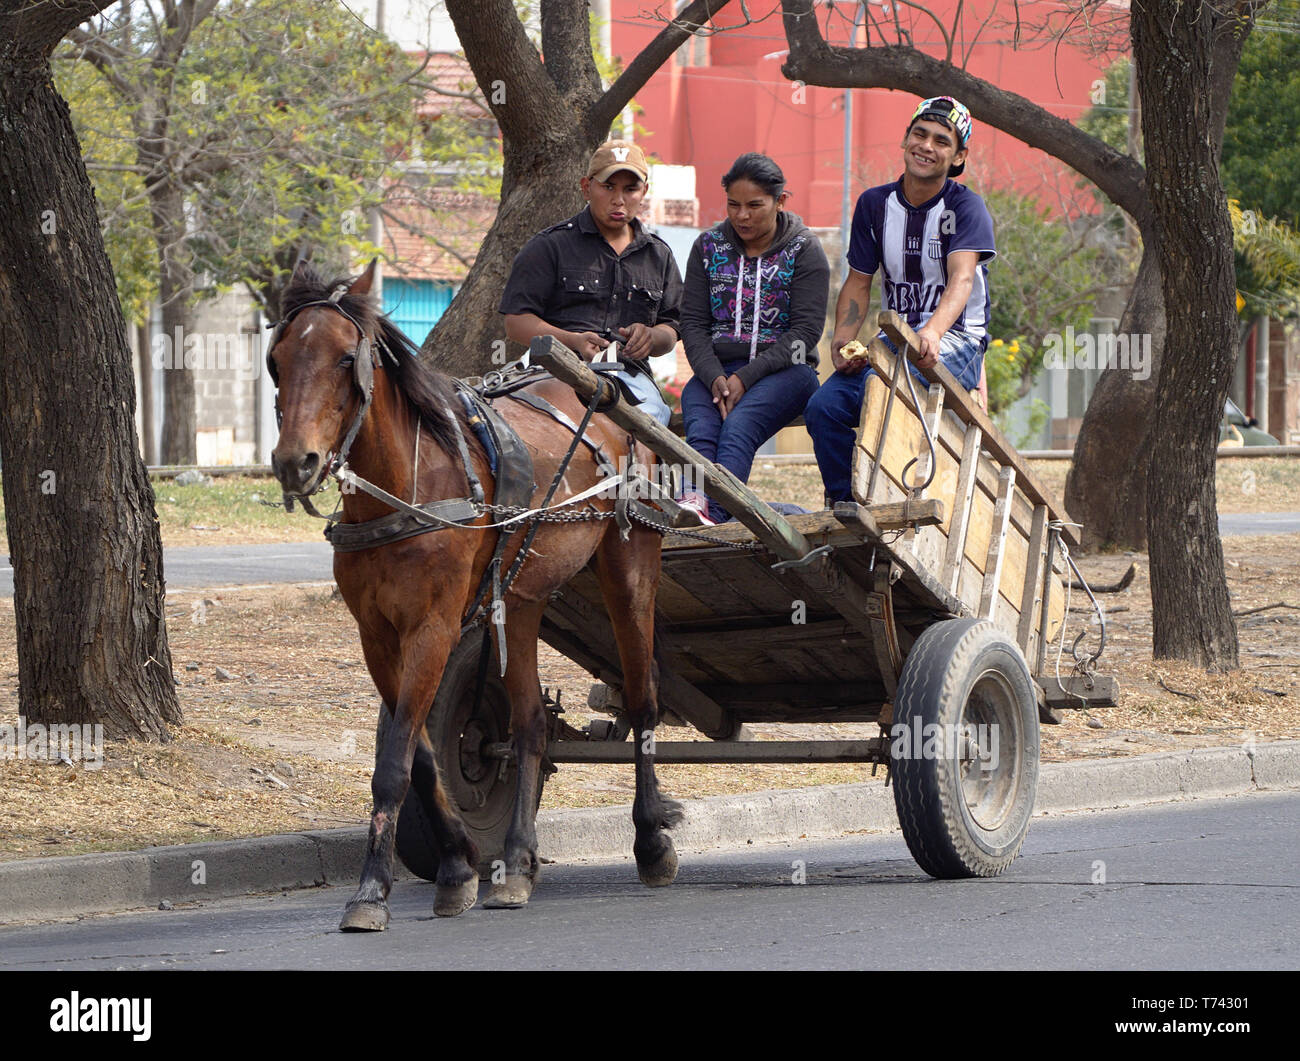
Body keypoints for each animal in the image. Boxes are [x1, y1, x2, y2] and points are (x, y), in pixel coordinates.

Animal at [270, 258, 686, 925]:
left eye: (344, 359)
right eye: (277, 360)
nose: (294, 461)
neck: (406, 487)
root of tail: (601, 382)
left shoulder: (433, 627)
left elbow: (393, 762)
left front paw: (371, 890)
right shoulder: (377, 637)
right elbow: (419, 756)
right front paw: (458, 864)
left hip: (630, 566)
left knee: (644, 698)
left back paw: (649, 842)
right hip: (520, 599)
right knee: (529, 726)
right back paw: (516, 862)